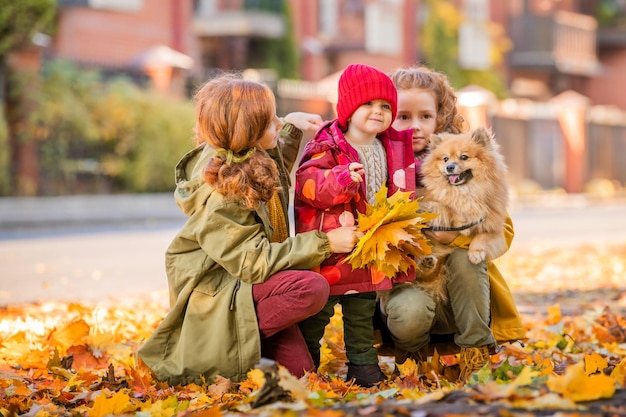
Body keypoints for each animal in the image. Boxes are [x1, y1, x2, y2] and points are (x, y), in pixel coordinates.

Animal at [412, 126, 510, 302]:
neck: (467, 190)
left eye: (464, 157)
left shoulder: (494, 223)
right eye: (445, 159)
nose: (449, 167)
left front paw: (476, 252)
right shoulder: (433, 203)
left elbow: (482, 236)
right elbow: (445, 207)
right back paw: (424, 261)